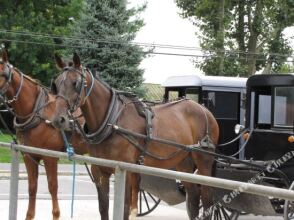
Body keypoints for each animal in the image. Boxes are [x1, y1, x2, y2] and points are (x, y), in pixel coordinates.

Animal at [0, 50, 88, 220]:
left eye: (2, 74)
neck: (36, 112)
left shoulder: (50, 157)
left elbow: (53, 186)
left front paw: (56, 214)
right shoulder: (29, 155)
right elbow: (32, 187)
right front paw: (29, 215)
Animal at [50, 53, 218, 220]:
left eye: (76, 83)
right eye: (56, 84)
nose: (59, 119)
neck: (112, 121)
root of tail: (204, 110)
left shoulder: (126, 170)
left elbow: (124, 208)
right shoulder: (99, 170)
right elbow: (103, 208)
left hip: (204, 160)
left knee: (208, 199)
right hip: (183, 161)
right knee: (194, 197)